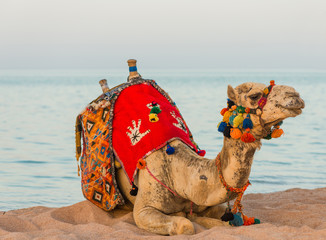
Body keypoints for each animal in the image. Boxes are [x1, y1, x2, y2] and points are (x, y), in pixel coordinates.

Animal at [113, 74, 304, 233]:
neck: (178, 174)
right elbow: (185, 226)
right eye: (254, 96)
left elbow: (228, 220)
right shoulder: (144, 209)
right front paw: (185, 217)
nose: (295, 95)